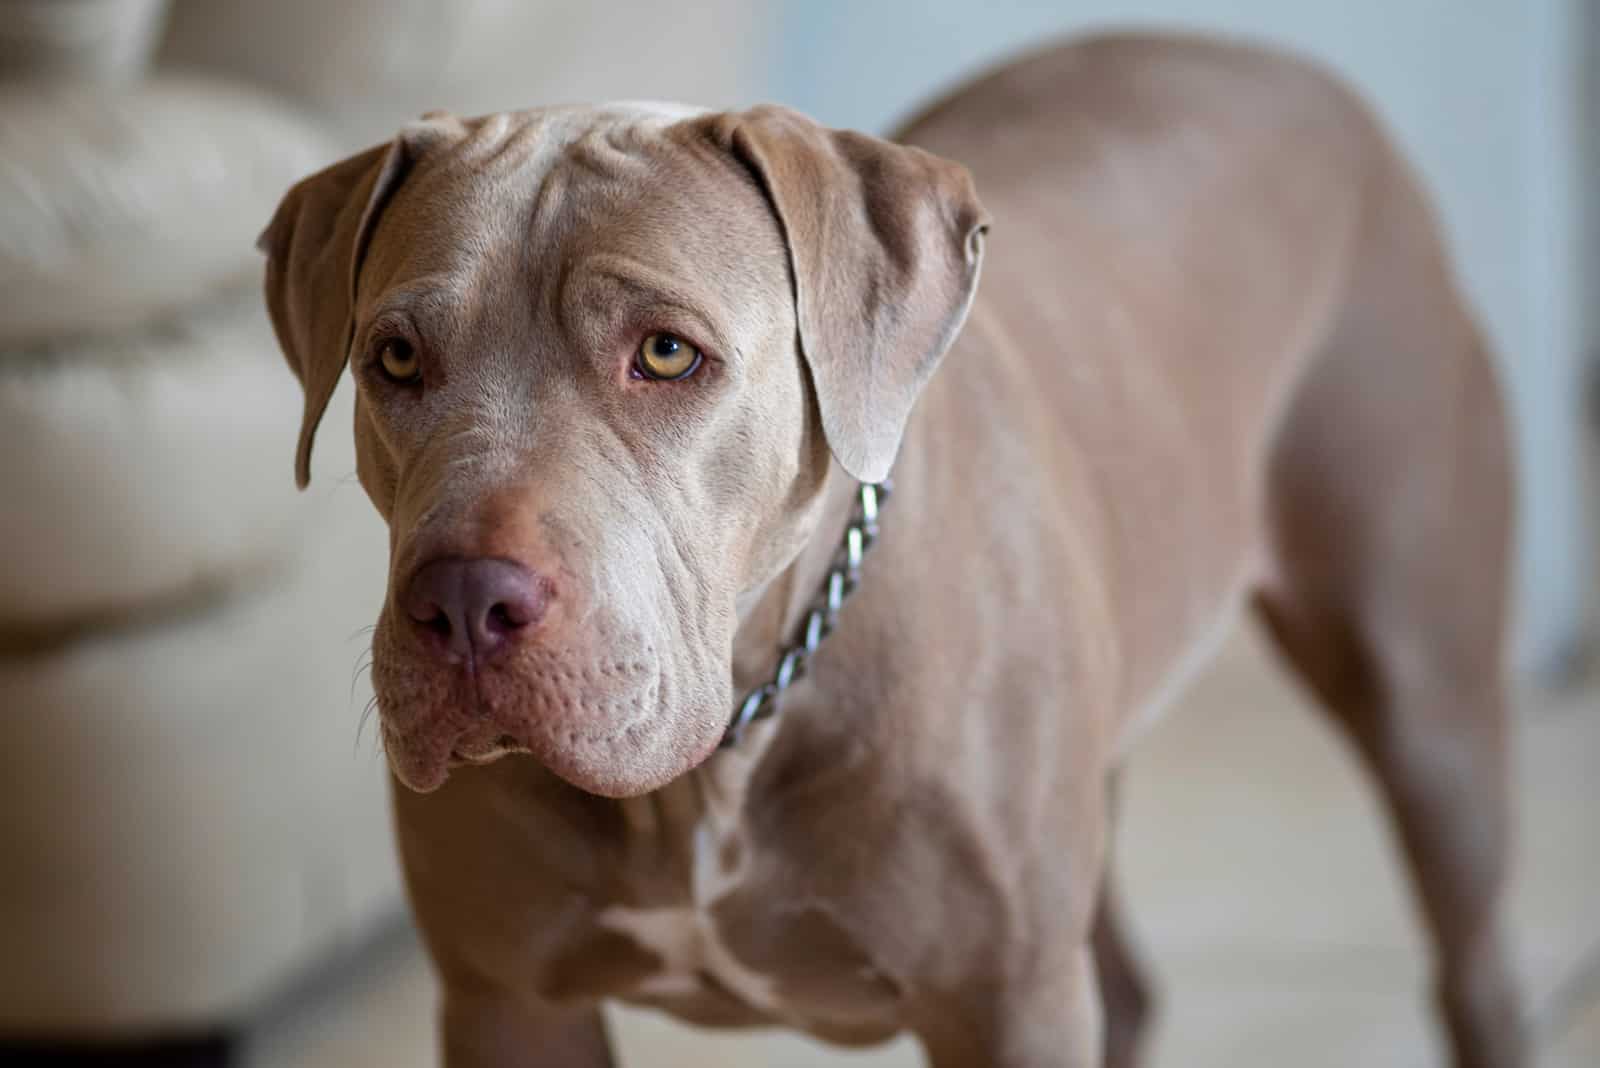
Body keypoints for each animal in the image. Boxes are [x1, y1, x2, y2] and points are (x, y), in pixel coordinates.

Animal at [259, 29, 1523, 1061]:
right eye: (395, 358)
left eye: (666, 354)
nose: (464, 602)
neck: (723, 753)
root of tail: (1277, 59)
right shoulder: (508, 999)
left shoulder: (1004, 1003)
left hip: (1423, 698)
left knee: (1470, 958)